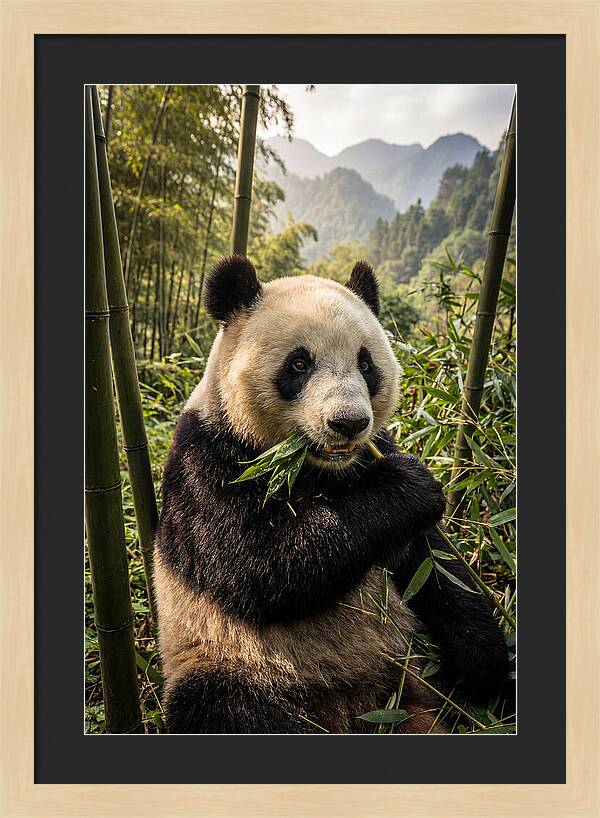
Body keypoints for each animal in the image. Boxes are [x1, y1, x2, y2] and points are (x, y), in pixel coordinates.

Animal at [153, 255, 509, 734]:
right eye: (299, 364)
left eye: (366, 363)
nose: (348, 423)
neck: (314, 466)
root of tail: (355, 708)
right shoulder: (207, 458)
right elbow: (257, 564)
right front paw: (409, 487)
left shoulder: (373, 456)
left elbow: (434, 567)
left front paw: (484, 666)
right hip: (230, 661)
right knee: (222, 707)